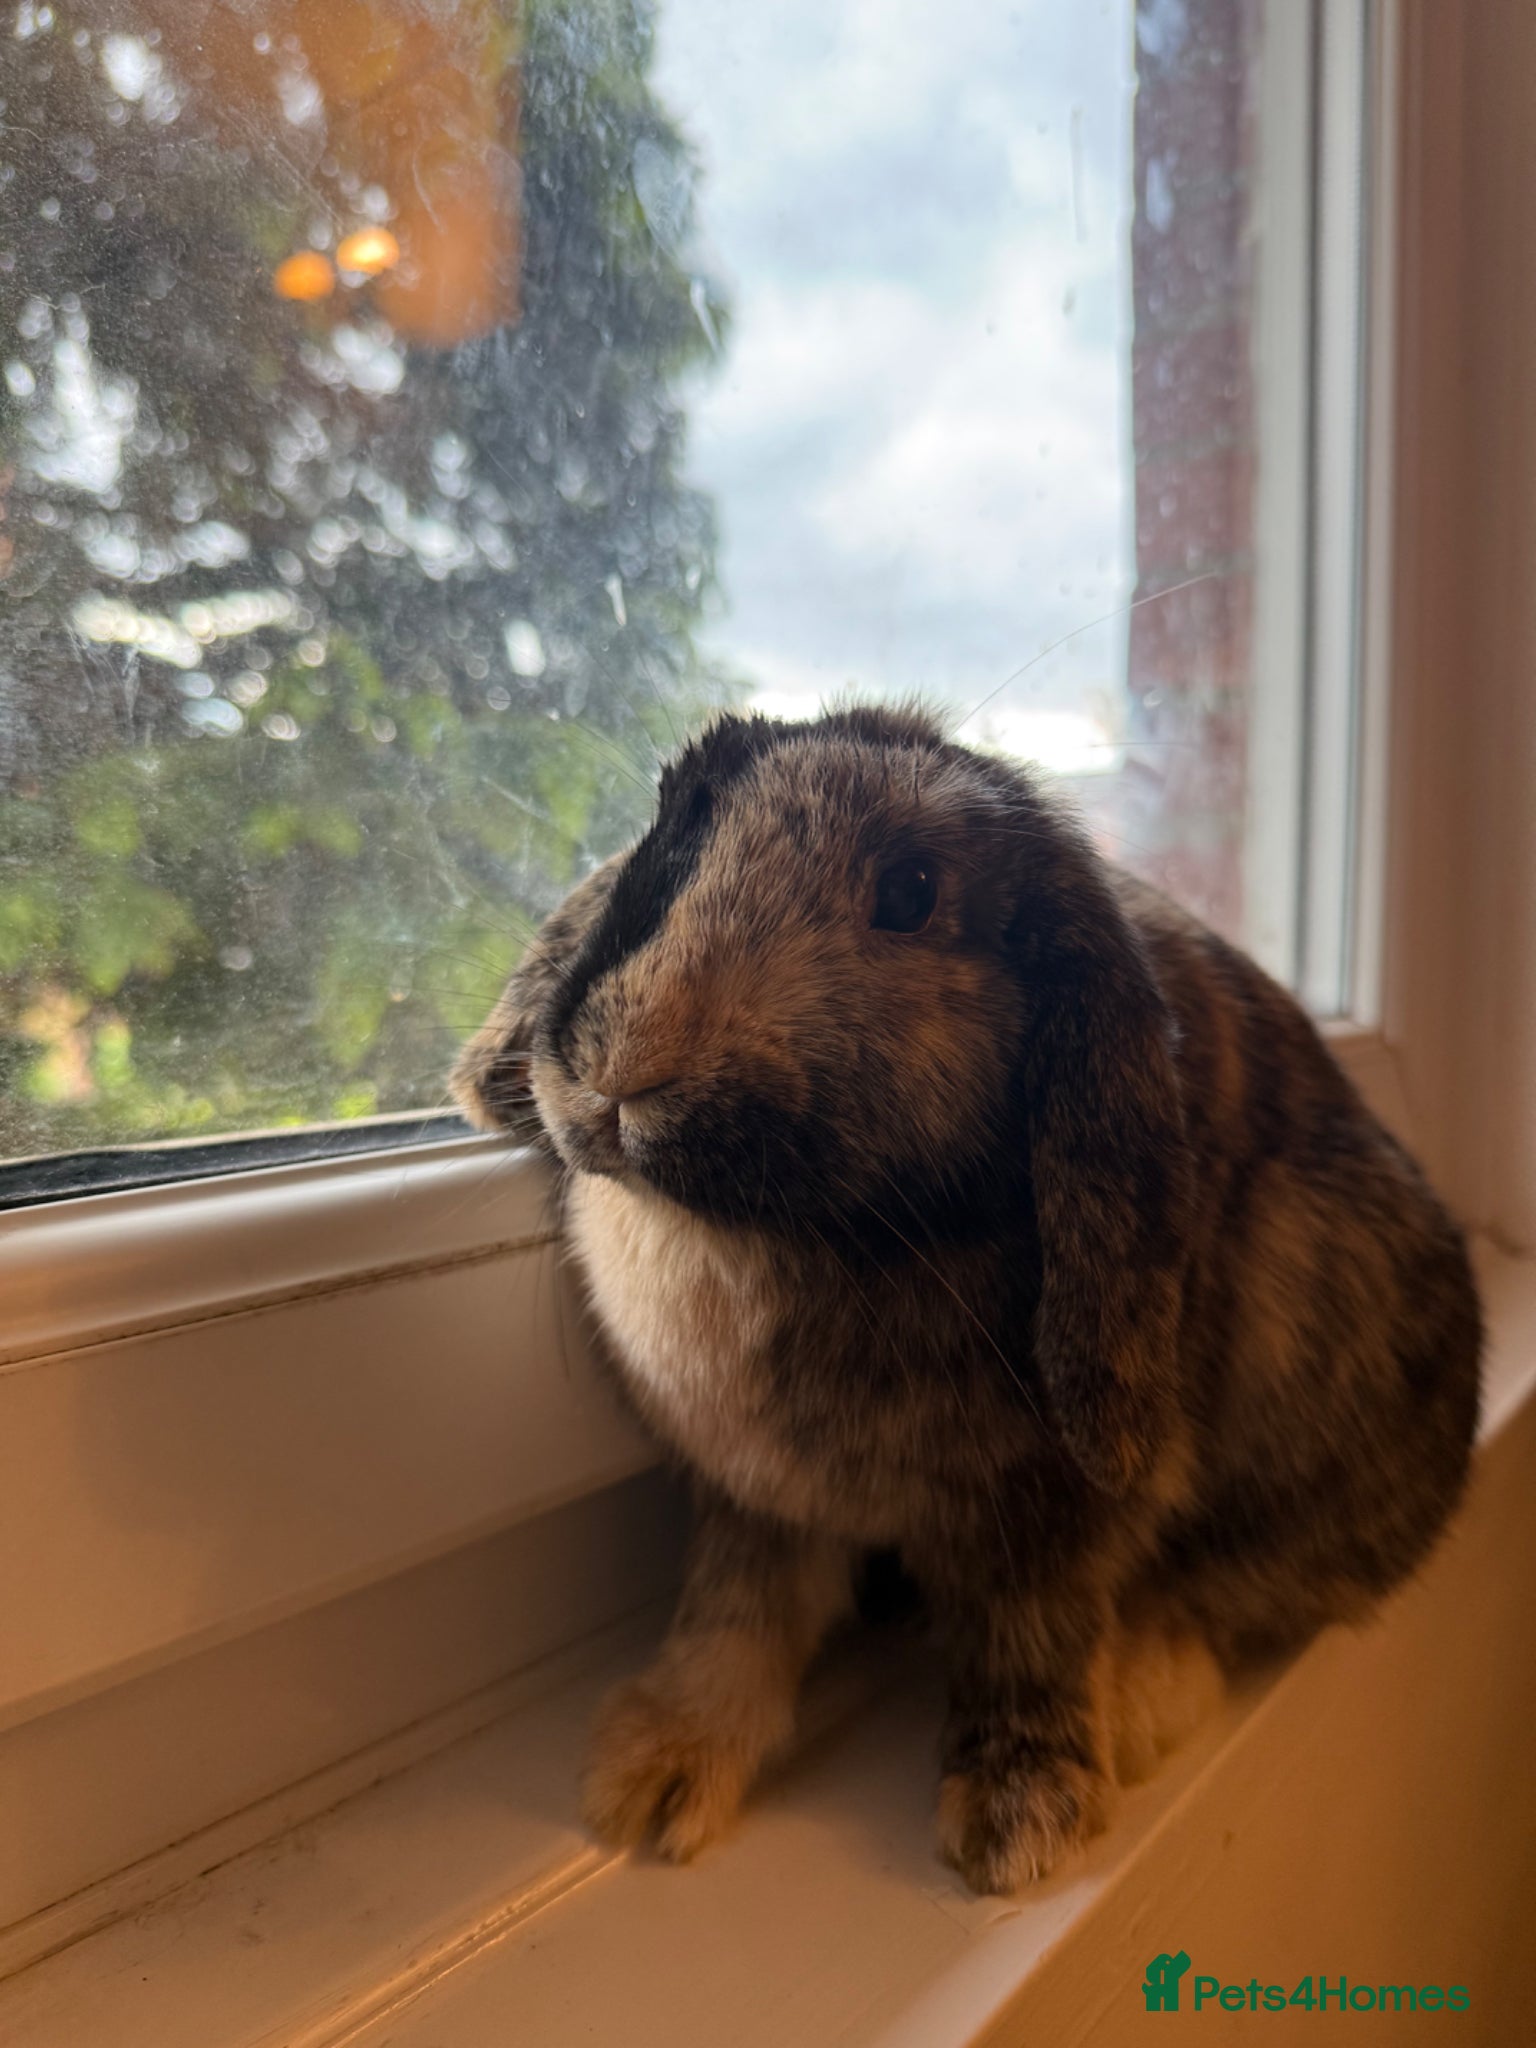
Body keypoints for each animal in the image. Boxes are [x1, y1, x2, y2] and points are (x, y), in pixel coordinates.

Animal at [451, 704, 1482, 1894]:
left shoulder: (1053, 1514)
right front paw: (652, 1776)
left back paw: (1141, 1697)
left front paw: (1015, 1826)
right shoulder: (754, 1499)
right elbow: (733, 1614)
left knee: (1237, 1587)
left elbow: (1030, 1641)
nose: (623, 1070)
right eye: (672, 825)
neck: (790, 1229)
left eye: (910, 893)